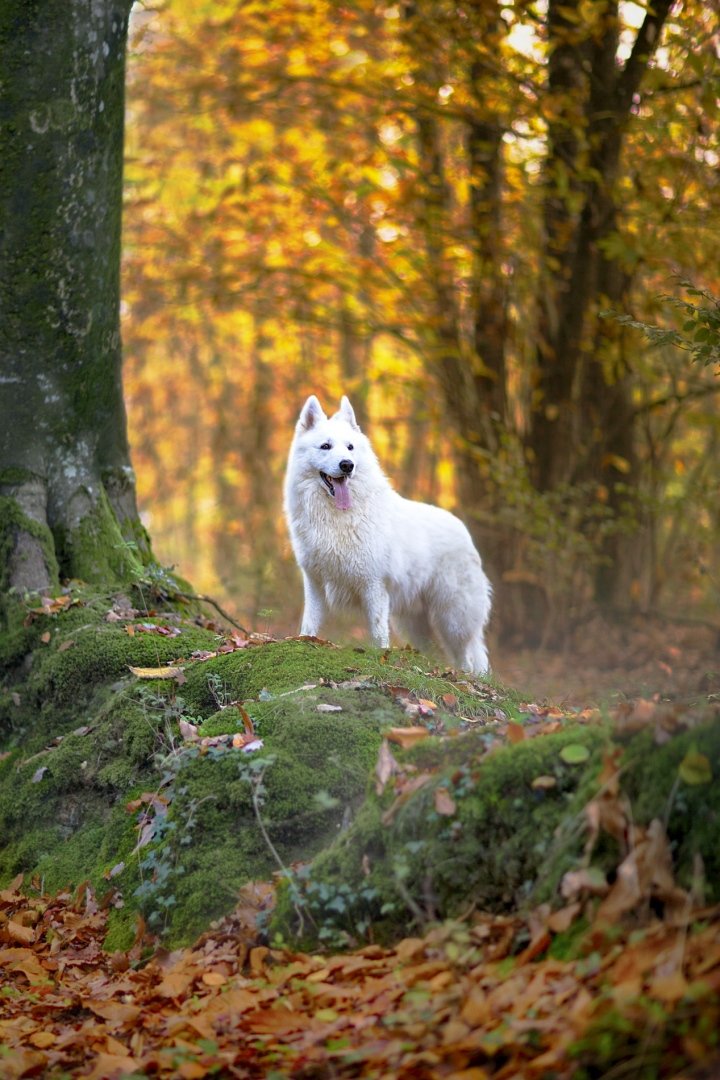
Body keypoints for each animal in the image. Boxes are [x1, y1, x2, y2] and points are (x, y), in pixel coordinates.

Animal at [283, 395, 492, 675]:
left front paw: (380, 659)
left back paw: (466, 675)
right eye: (325, 446)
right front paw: (304, 642)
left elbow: (378, 632)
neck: (338, 518)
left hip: (453, 617)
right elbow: (310, 623)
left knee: (467, 656)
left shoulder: (374, 586)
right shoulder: (315, 581)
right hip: (413, 621)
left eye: (350, 447)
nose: (347, 465)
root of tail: (465, 532)